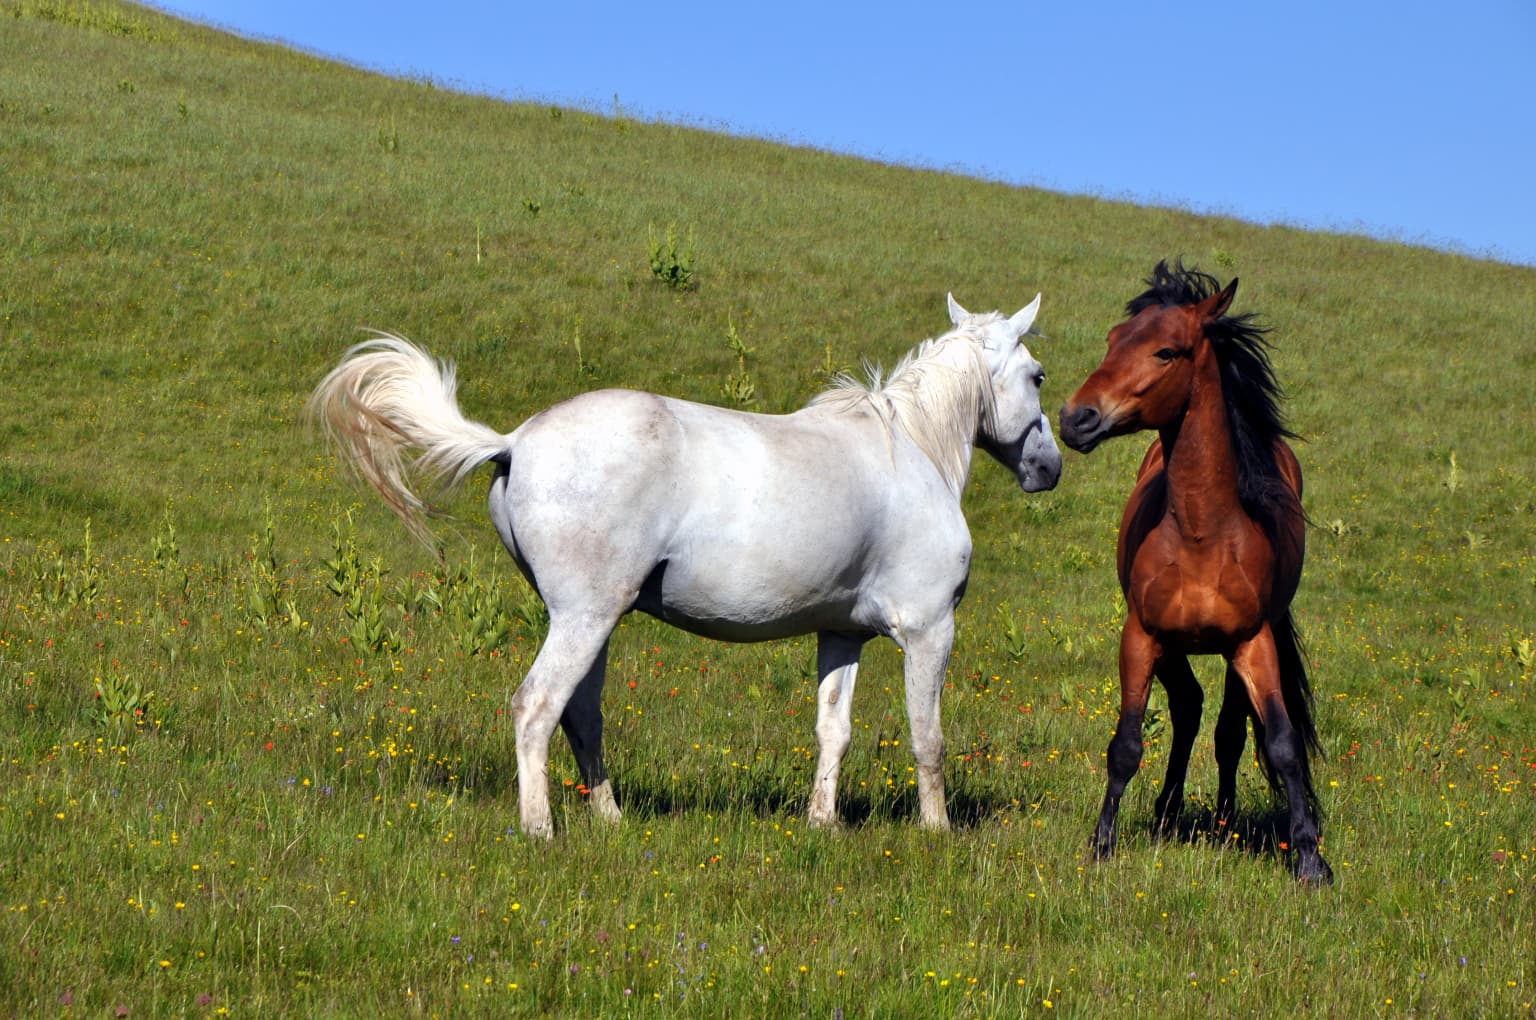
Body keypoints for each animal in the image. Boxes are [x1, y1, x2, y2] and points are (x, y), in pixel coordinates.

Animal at [309, 294, 1062, 838]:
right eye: (1037, 376)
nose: (1048, 468)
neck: (910, 449)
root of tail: (514, 440)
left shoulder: (841, 633)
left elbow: (833, 732)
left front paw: (822, 824)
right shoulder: (929, 631)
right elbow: (928, 737)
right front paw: (937, 832)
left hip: (593, 622)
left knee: (582, 716)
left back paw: (611, 819)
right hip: (583, 619)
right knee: (537, 708)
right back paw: (541, 829)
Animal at [1058, 261, 1330, 883]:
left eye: (1166, 352)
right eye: (1112, 340)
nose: (1076, 417)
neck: (1203, 534)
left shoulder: (1253, 642)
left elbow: (1280, 743)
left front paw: (1310, 858)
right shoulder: (1142, 635)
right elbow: (1127, 744)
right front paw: (1101, 844)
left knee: (1228, 729)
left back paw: (1224, 822)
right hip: (1174, 645)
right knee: (1188, 709)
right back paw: (1165, 814)